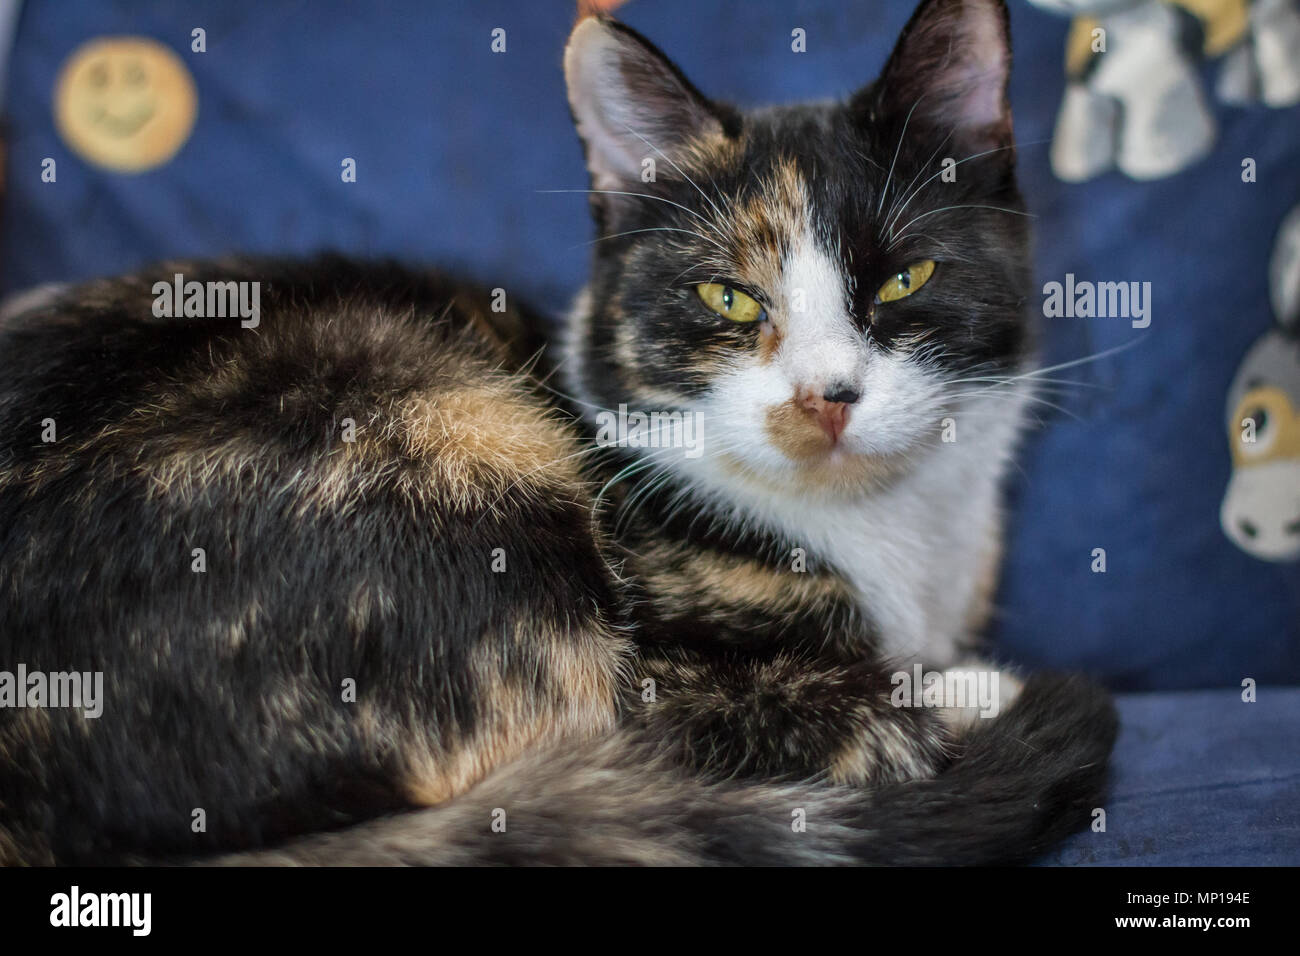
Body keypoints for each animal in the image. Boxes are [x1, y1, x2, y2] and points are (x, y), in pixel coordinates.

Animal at [0, 0, 1118, 868]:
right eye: (727, 295)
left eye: (903, 279)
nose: (825, 396)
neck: (894, 538)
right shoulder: (672, 671)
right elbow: (832, 708)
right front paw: (974, 683)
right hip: (442, 425)